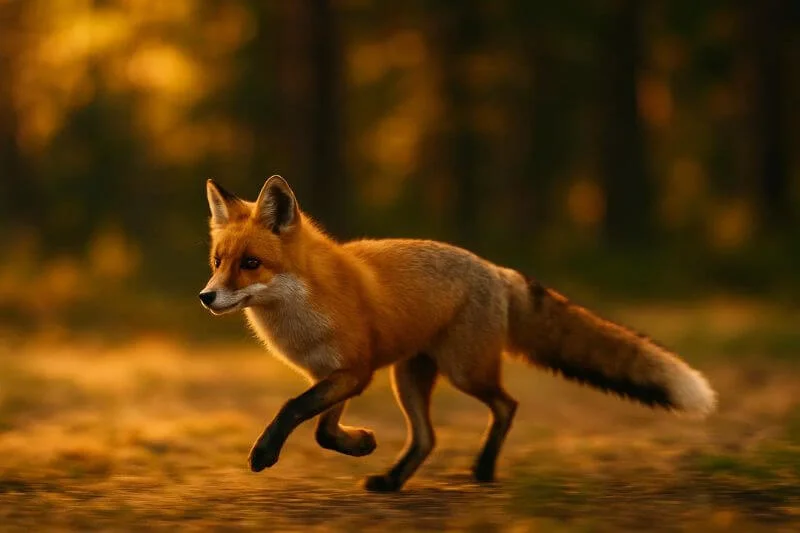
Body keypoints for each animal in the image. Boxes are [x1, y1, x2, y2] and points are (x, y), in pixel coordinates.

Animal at [199, 175, 716, 492]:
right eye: (218, 262)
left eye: (251, 263)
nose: (207, 296)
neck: (304, 304)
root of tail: (496, 269)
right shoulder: (338, 375)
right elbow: (324, 430)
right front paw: (361, 443)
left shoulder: (353, 372)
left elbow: (294, 410)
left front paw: (265, 452)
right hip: (408, 377)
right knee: (428, 438)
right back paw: (393, 481)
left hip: (464, 372)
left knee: (507, 405)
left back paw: (483, 470)